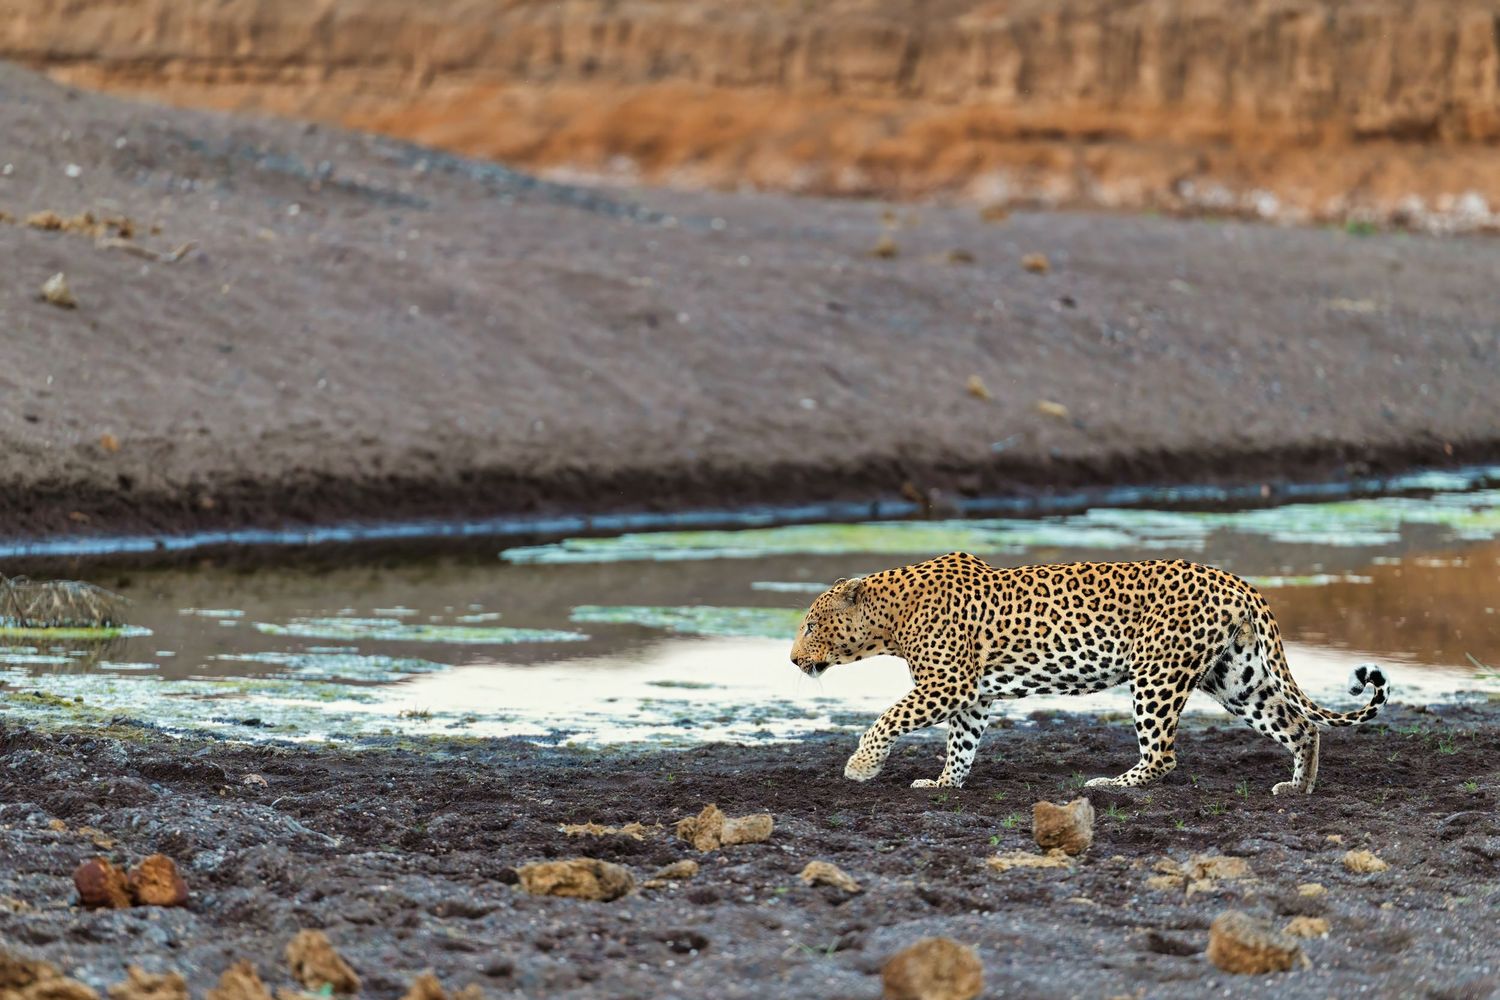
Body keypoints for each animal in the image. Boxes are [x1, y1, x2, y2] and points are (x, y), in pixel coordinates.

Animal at [789, 551, 1388, 794]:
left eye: (812, 624)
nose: (793, 660)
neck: (889, 616)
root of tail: (1237, 581)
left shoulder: (946, 685)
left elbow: (887, 717)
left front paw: (861, 767)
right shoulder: (971, 694)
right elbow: (961, 743)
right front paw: (944, 784)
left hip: (1157, 674)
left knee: (1163, 755)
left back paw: (1112, 784)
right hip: (1235, 677)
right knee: (1300, 726)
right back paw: (1299, 787)